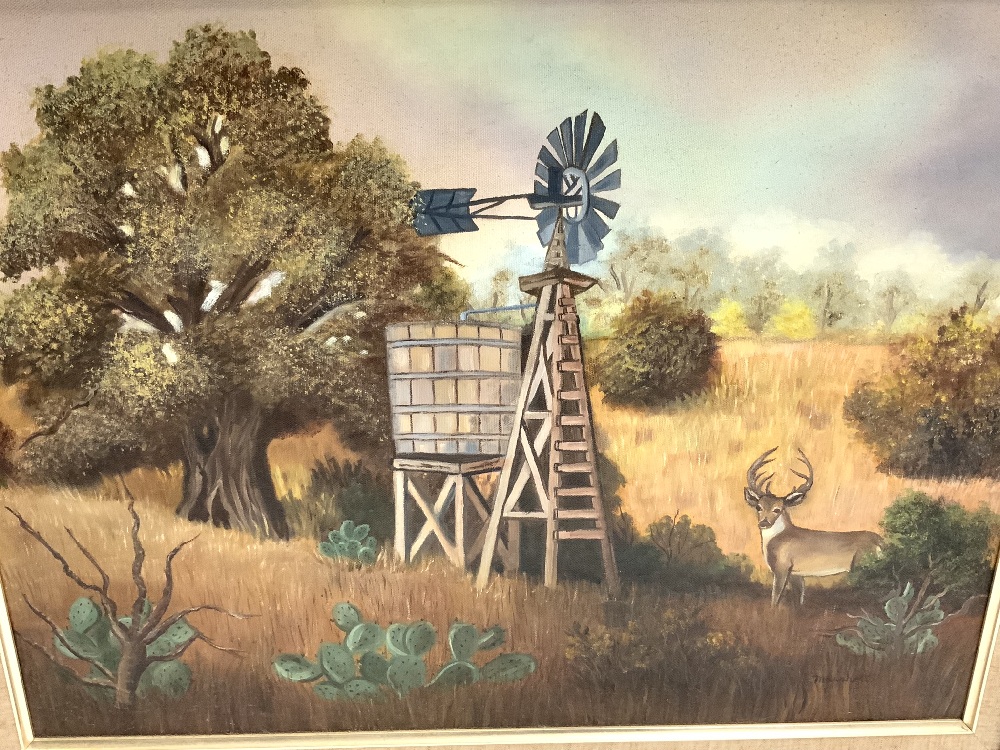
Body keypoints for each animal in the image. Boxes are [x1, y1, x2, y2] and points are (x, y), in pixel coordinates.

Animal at [744, 447, 881, 607]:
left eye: (777, 509)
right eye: (758, 507)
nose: (764, 523)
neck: (778, 537)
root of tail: (880, 541)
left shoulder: (782, 567)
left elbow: (775, 599)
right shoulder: (796, 573)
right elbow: (799, 599)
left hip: (861, 563)